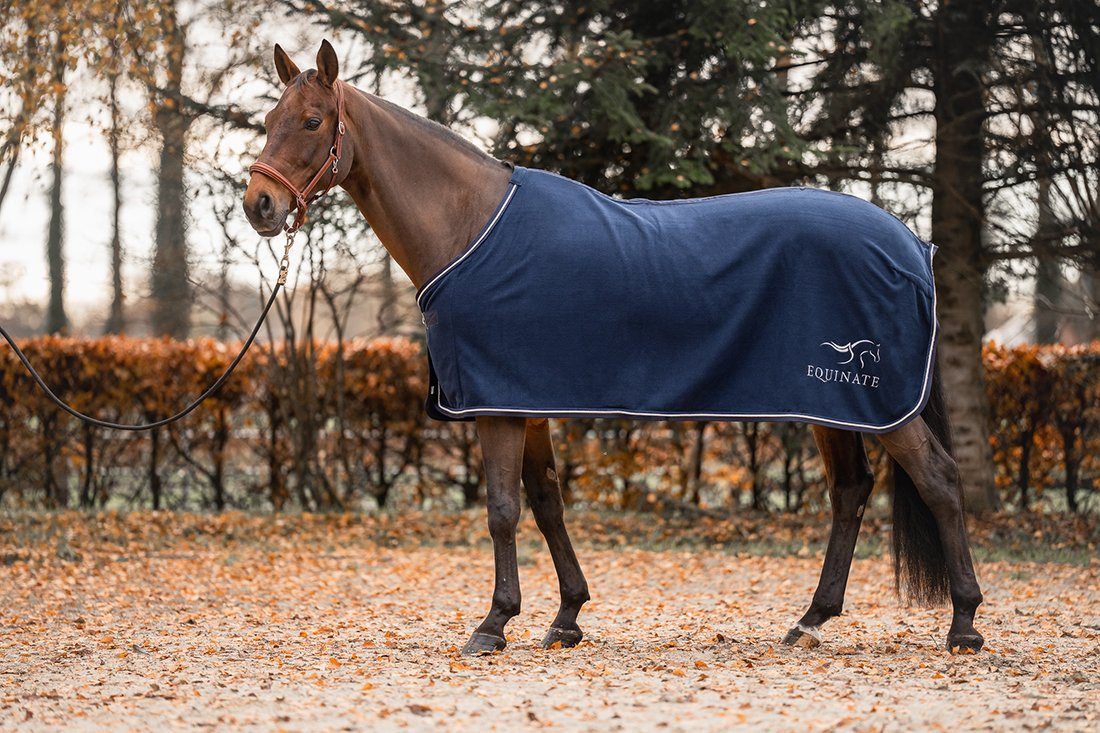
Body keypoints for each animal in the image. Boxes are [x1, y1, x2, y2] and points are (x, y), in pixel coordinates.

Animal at [243, 41, 984, 657]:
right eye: (269, 117)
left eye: (312, 122)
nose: (258, 206)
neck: (472, 228)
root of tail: (911, 244)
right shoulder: (525, 399)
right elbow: (545, 501)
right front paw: (566, 616)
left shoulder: (496, 405)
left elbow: (502, 510)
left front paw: (493, 624)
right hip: (831, 405)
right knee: (850, 491)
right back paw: (810, 621)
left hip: (877, 404)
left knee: (939, 480)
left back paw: (964, 624)